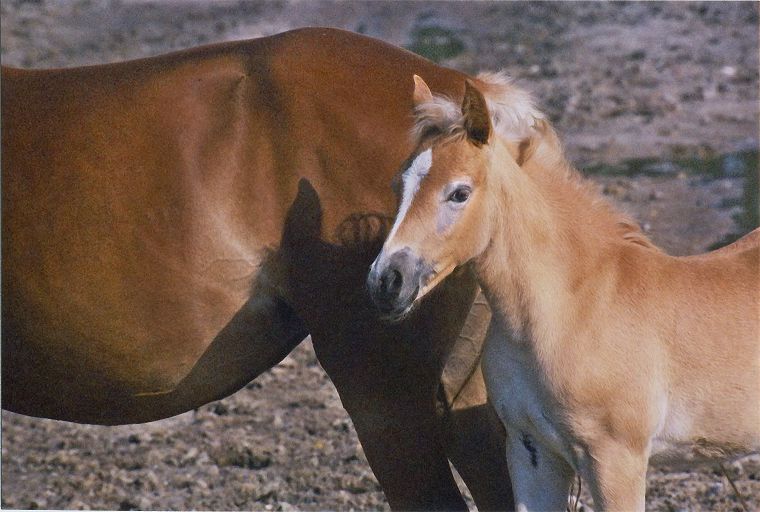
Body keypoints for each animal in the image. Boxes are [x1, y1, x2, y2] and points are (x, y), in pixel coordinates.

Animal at [366, 74, 756, 510]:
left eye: (459, 193)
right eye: (398, 185)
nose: (387, 281)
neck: (570, 312)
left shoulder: (615, 458)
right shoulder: (531, 450)